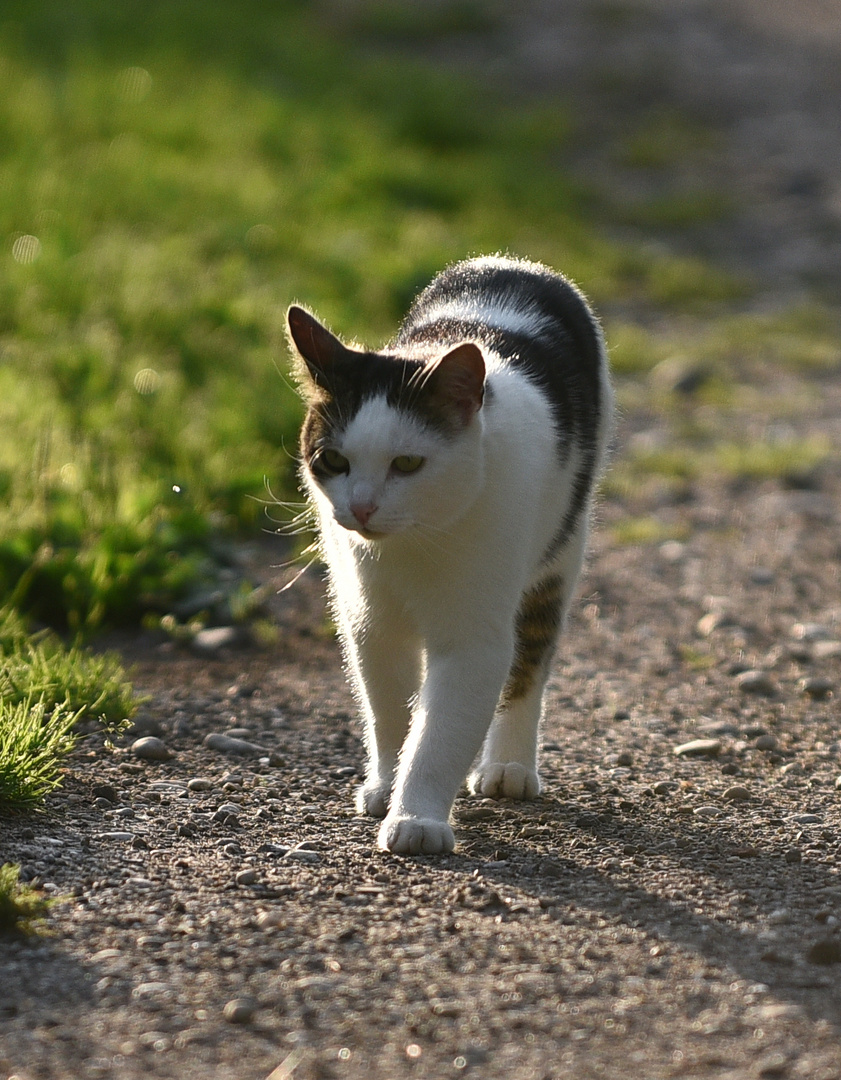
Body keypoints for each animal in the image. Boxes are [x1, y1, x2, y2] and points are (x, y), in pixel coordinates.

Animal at [287, 252, 613, 851]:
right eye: (335, 460)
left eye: (408, 464)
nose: (362, 508)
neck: (414, 543)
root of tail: (511, 261)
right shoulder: (371, 620)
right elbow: (390, 711)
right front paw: (388, 786)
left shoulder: (473, 637)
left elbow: (441, 729)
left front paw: (417, 819)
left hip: (559, 550)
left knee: (531, 659)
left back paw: (509, 766)